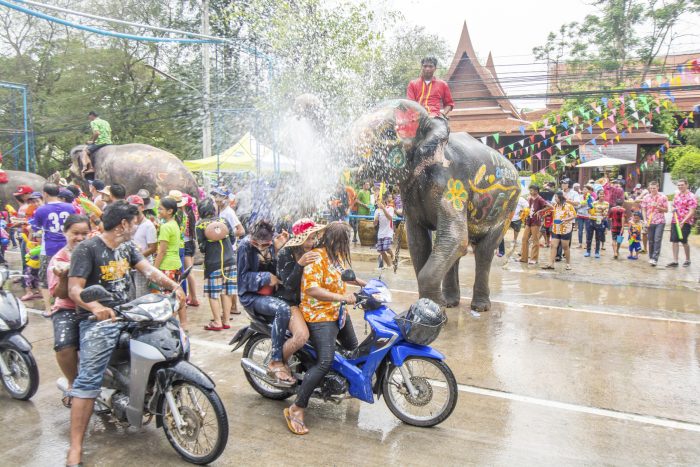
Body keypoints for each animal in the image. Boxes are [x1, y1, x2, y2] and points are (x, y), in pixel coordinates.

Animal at [350, 98, 520, 310]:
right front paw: (431, 307)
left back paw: (479, 307)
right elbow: (418, 243)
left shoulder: (450, 184)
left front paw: (432, 309)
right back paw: (450, 303)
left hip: (508, 208)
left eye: (389, 133)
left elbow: (455, 239)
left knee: (483, 250)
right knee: (456, 247)